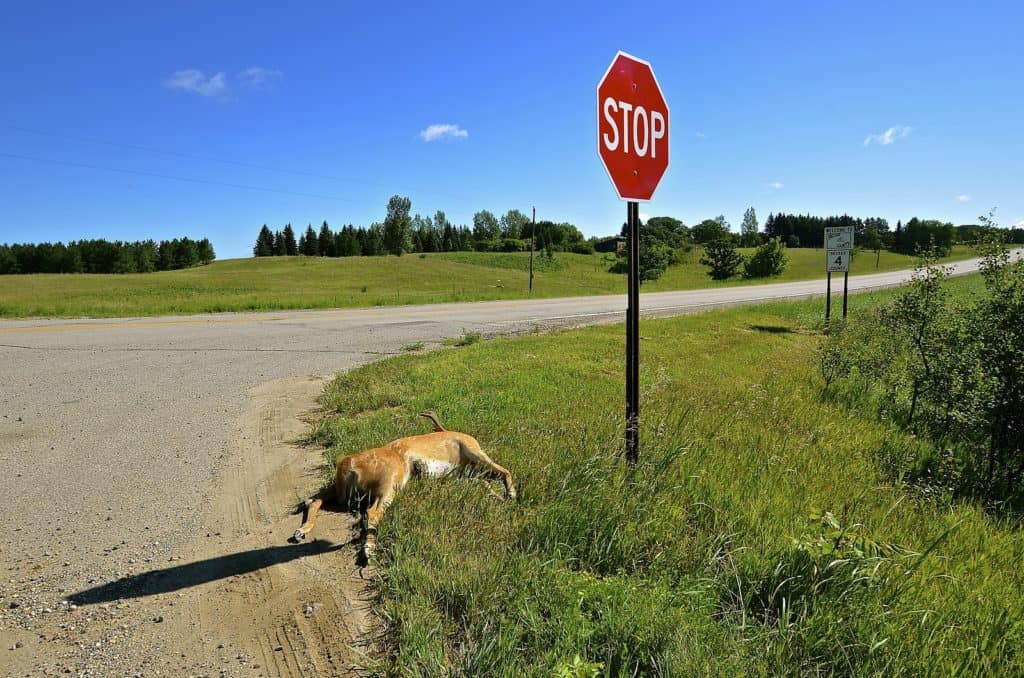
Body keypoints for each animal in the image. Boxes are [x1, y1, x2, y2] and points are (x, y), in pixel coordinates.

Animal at [288, 411, 516, 561]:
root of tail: (349, 462)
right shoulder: (474, 450)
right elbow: (505, 470)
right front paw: (511, 493)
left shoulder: (463, 477)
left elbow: (486, 483)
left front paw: (500, 496)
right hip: (389, 486)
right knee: (372, 512)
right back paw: (368, 549)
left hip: (341, 495)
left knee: (315, 499)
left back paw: (302, 530)